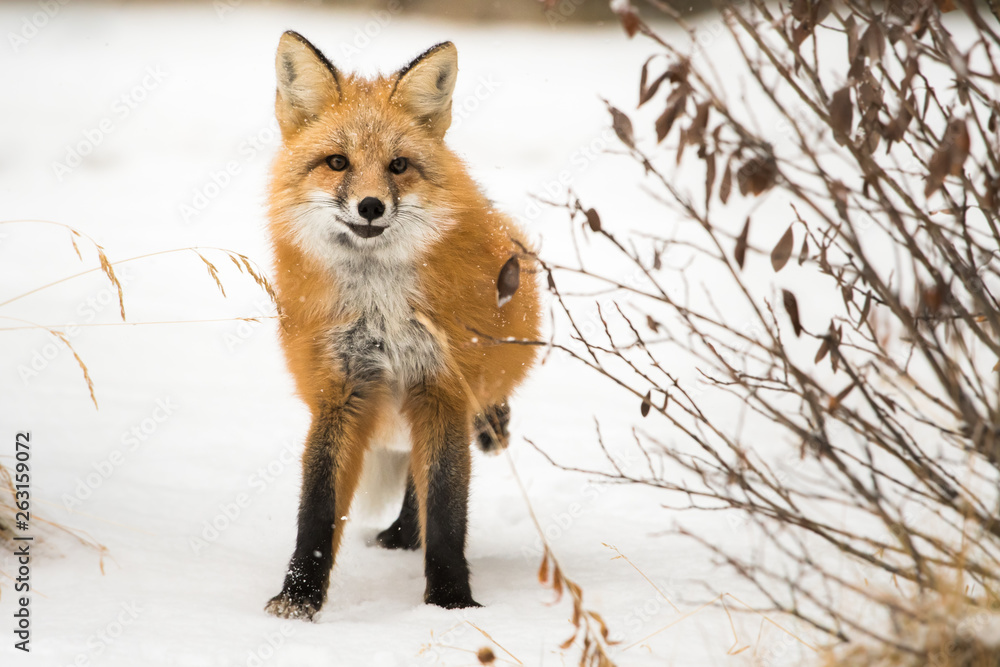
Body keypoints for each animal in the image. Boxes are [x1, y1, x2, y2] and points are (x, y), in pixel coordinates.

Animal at [263, 31, 541, 620]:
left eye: (398, 166)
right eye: (337, 162)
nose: (370, 206)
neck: (379, 308)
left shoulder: (441, 388)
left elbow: (446, 508)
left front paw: (451, 601)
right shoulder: (340, 390)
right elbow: (317, 508)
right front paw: (299, 597)